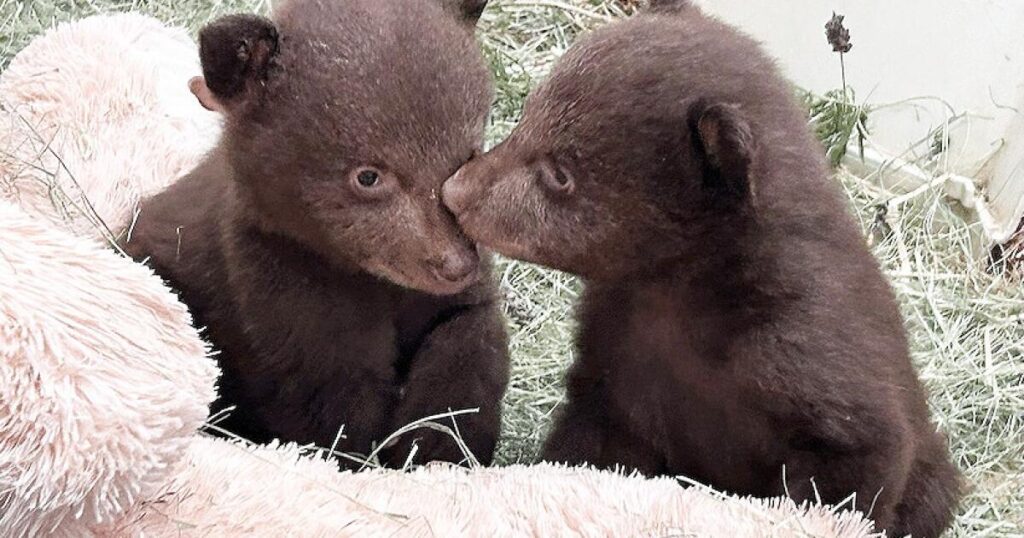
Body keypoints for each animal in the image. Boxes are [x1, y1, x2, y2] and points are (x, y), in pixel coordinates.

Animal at [124, 0, 510, 468]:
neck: (370, 280)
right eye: (368, 176)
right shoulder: (283, 292)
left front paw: (437, 443)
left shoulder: (446, 297)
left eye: (468, 153)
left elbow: (469, 334)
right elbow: (330, 408)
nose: (455, 264)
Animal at [441, 1, 960, 535]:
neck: (683, 289)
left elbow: (852, 462)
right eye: (526, 117)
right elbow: (594, 442)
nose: (454, 191)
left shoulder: (806, 349)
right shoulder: (618, 356)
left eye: (560, 173)